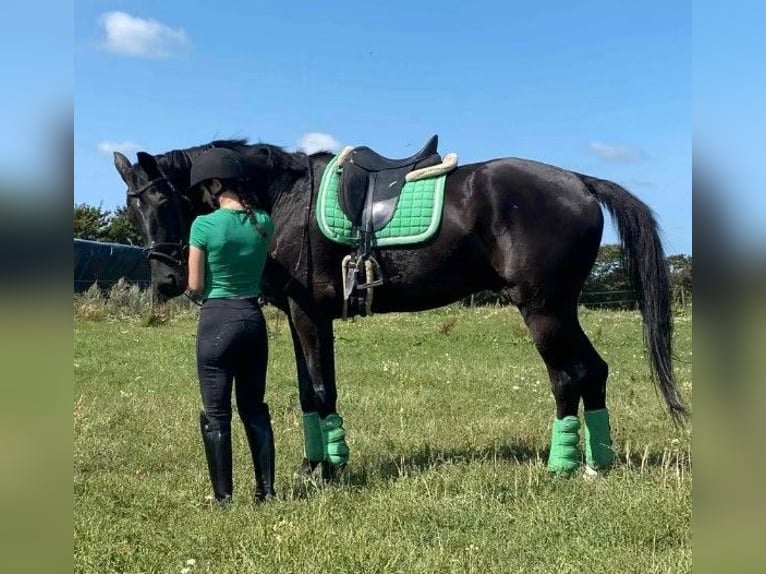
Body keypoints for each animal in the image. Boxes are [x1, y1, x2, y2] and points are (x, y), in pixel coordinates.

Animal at [113, 136, 688, 479]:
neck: (285, 198)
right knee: (594, 371)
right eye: (131, 207)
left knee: (569, 376)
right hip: (562, 308)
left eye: (162, 200)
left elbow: (320, 389)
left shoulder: (310, 314)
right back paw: (596, 463)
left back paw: (564, 465)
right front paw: (313, 464)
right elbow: (307, 390)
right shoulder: (301, 316)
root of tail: (579, 181)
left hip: (545, 309)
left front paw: (331, 468)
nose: (167, 280)